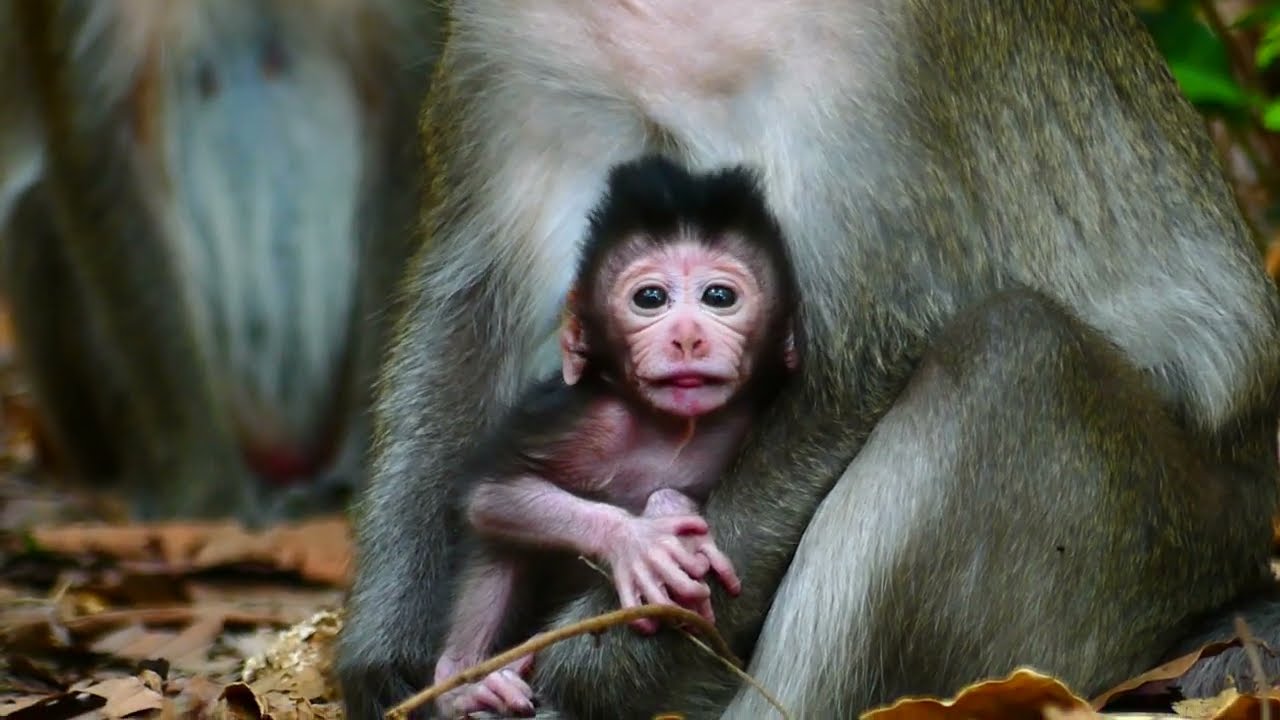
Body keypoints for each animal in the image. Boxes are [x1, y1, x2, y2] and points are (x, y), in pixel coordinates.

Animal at [431, 156, 800, 718]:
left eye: (720, 297)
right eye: (650, 299)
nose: (687, 337)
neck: (676, 430)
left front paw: (668, 506)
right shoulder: (588, 419)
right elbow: (491, 494)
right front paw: (640, 540)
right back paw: (462, 680)